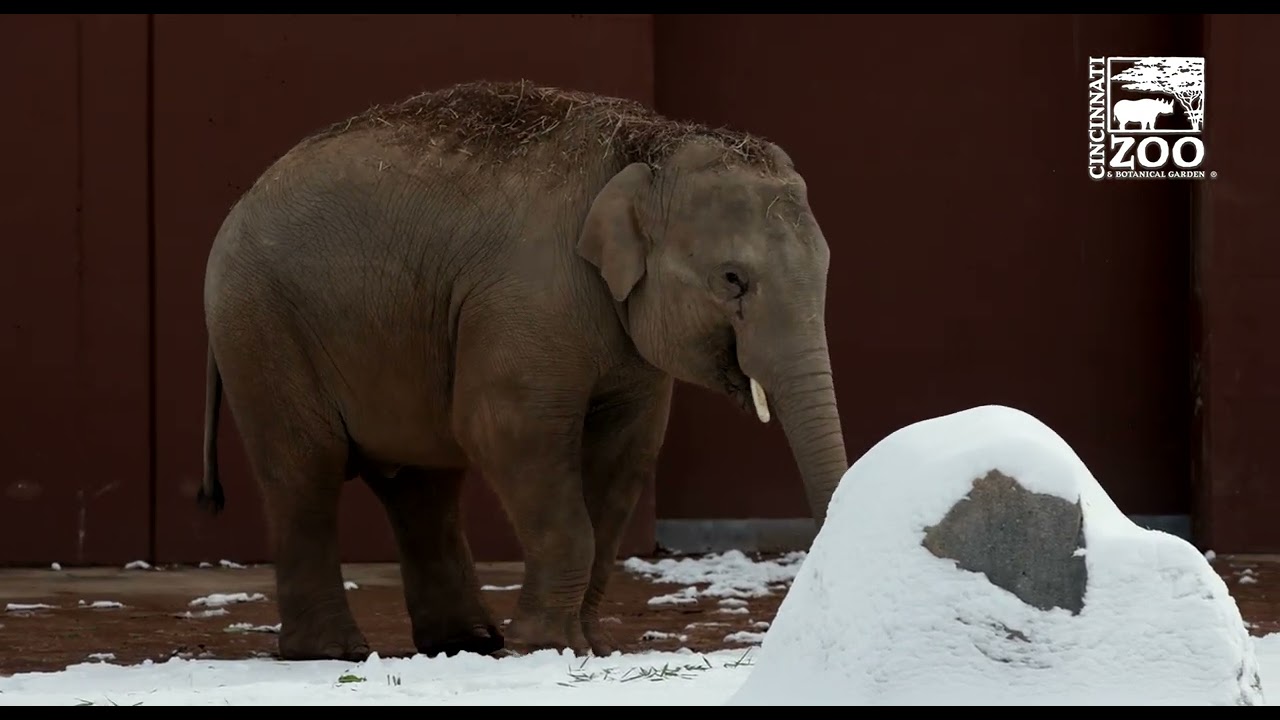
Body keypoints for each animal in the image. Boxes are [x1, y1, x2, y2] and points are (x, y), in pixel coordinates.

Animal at [198, 79, 849, 662]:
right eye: (733, 279)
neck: (645, 145)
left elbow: (626, 456)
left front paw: (592, 647)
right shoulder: (528, 298)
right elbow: (505, 431)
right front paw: (550, 647)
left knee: (420, 484)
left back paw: (467, 643)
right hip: (263, 329)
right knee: (306, 471)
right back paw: (334, 653)